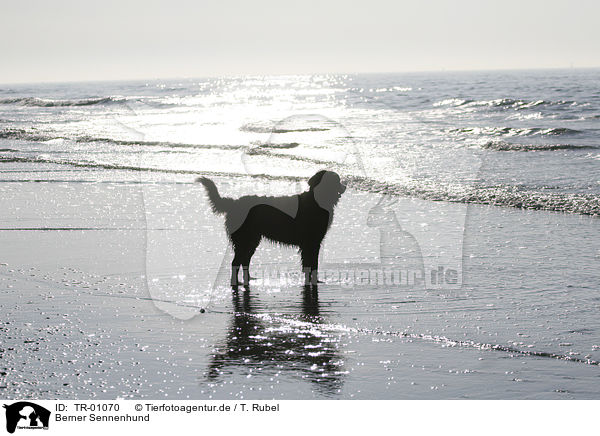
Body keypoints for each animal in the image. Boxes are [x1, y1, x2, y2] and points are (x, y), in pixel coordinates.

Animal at [198, 170, 344, 286]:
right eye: (336, 180)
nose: (345, 186)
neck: (317, 201)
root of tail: (234, 203)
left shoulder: (311, 243)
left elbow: (311, 264)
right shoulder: (311, 243)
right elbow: (312, 264)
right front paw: (313, 281)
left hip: (252, 240)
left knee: (245, 260)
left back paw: (249, 278)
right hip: (245, 240)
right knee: (236, 262)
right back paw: (236, 282)